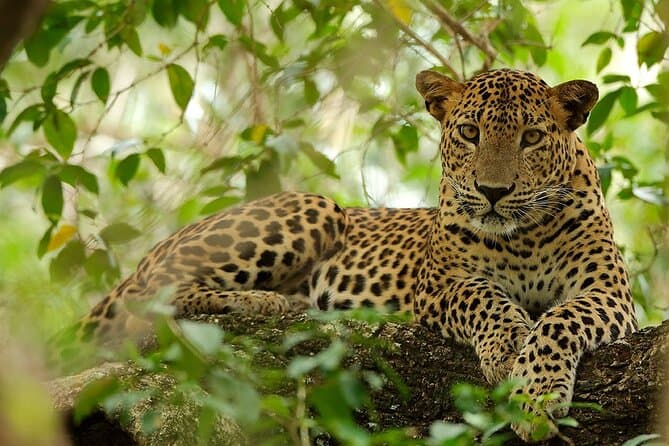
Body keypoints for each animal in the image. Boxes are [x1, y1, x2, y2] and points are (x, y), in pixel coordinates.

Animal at [65, 68, 637, 442]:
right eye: (469, 132)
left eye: (532, 137)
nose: (492, 191)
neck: (521, 236)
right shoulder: (441, 285)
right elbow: (485, 298)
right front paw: (507, 348)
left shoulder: (608, 292)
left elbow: (560, 319)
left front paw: (537, 394)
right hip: (316, 207)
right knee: (148, 300)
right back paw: (266, 303)